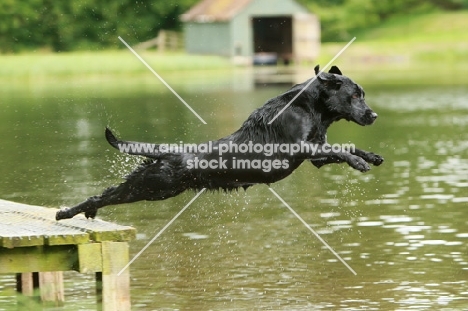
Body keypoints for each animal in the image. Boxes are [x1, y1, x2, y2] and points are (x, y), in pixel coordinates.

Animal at [55, 66, 384, 222]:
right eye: (355, 95)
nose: (374, 115)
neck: (310, 106)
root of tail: (170, 152)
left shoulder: (316, 155)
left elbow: (344, 147)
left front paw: (370, 156)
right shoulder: (299, 149)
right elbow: (340, 149)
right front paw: (360, 162)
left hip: (155, 187)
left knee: (106, 194)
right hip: (152, 186)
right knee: (105, 195)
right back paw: (68, 212)